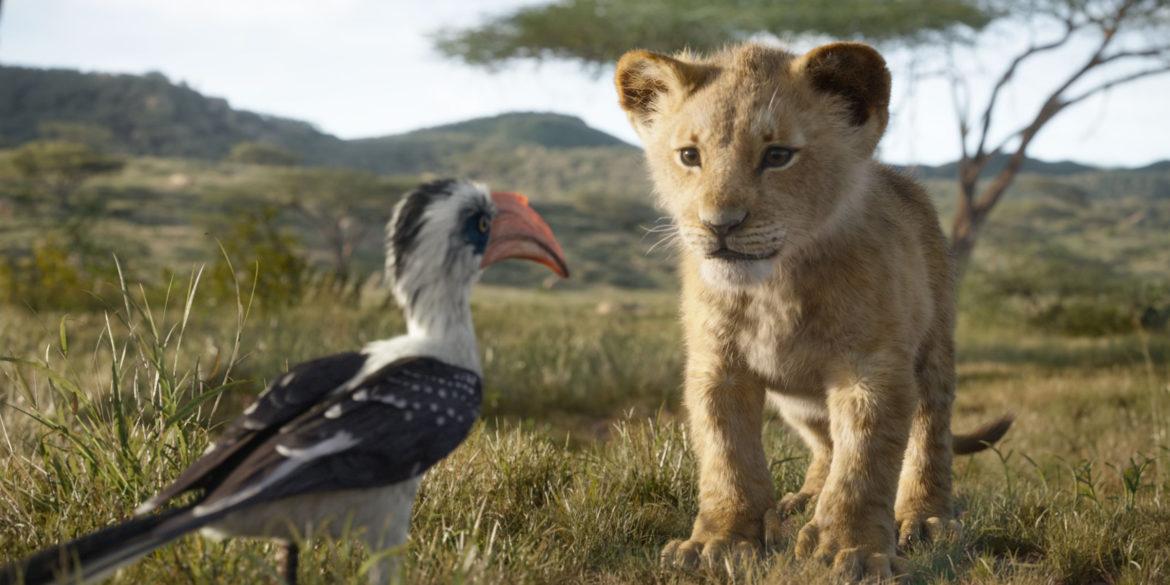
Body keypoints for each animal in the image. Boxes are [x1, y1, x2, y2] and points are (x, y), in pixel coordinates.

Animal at [613, 42, 1012, 581]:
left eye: (778, 155)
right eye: (690, 156)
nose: (720, 225)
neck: (775, 287)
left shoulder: (871, 367)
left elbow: (864, 461)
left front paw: (853, 549)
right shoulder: (717, 367)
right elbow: (726, 456)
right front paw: (719, 541)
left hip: (934, 350)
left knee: (929, 432)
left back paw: (925, 517)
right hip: (798, 401)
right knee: (825, 443)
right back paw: (801, 501)